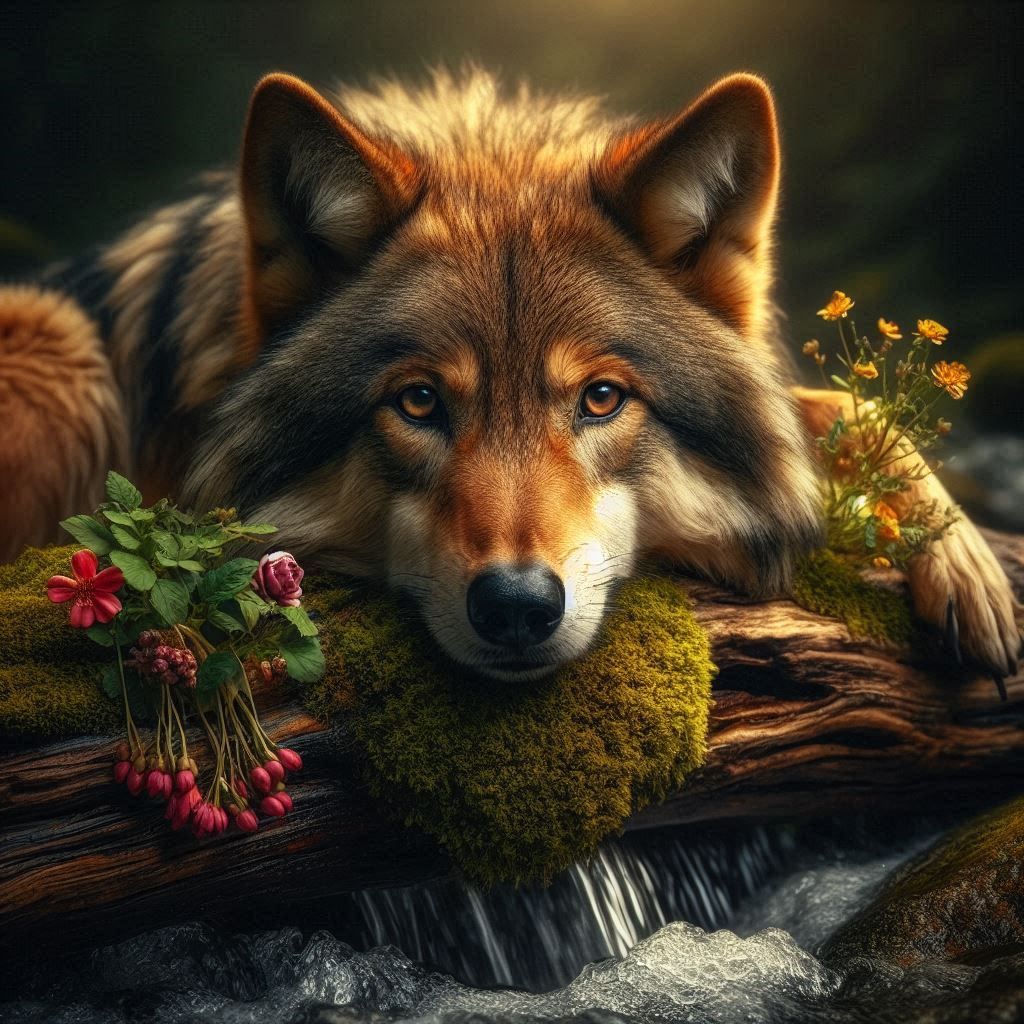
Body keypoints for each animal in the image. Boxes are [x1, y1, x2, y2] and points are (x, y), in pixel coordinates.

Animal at [2, 69, 1020, 682]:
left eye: (601, 398)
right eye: (418, 401)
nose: (518, 607)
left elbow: (840, 404)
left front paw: (967, 563)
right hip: (57, 345)